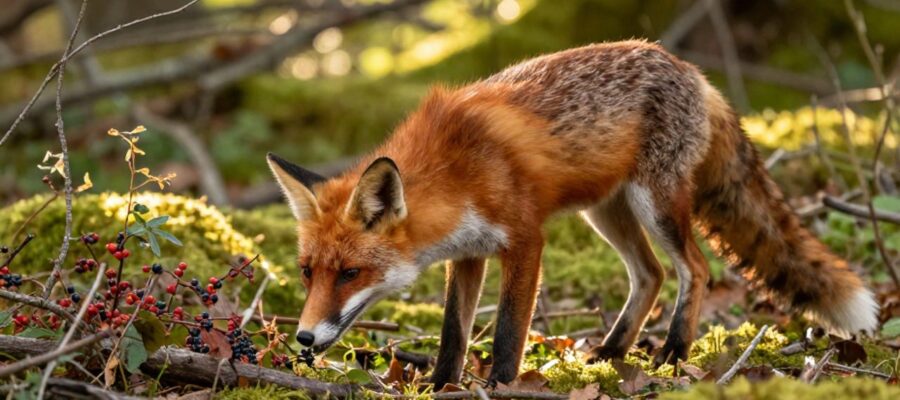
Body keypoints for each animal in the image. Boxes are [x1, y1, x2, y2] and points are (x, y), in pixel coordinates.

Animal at [266, 40, 878, 388]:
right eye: (307, 272)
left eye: (351, 273)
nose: (303, 338)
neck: (456, 172)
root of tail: (692, 71)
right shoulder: (467, 254)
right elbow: (453, 335)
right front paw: (442, 385)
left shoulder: (524, 240)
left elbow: (507, 332)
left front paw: (502, 385)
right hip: (605, 213)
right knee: (650, 274)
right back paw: (610, 354)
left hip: (655, 205)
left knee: (695, 269)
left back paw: (672, 355)